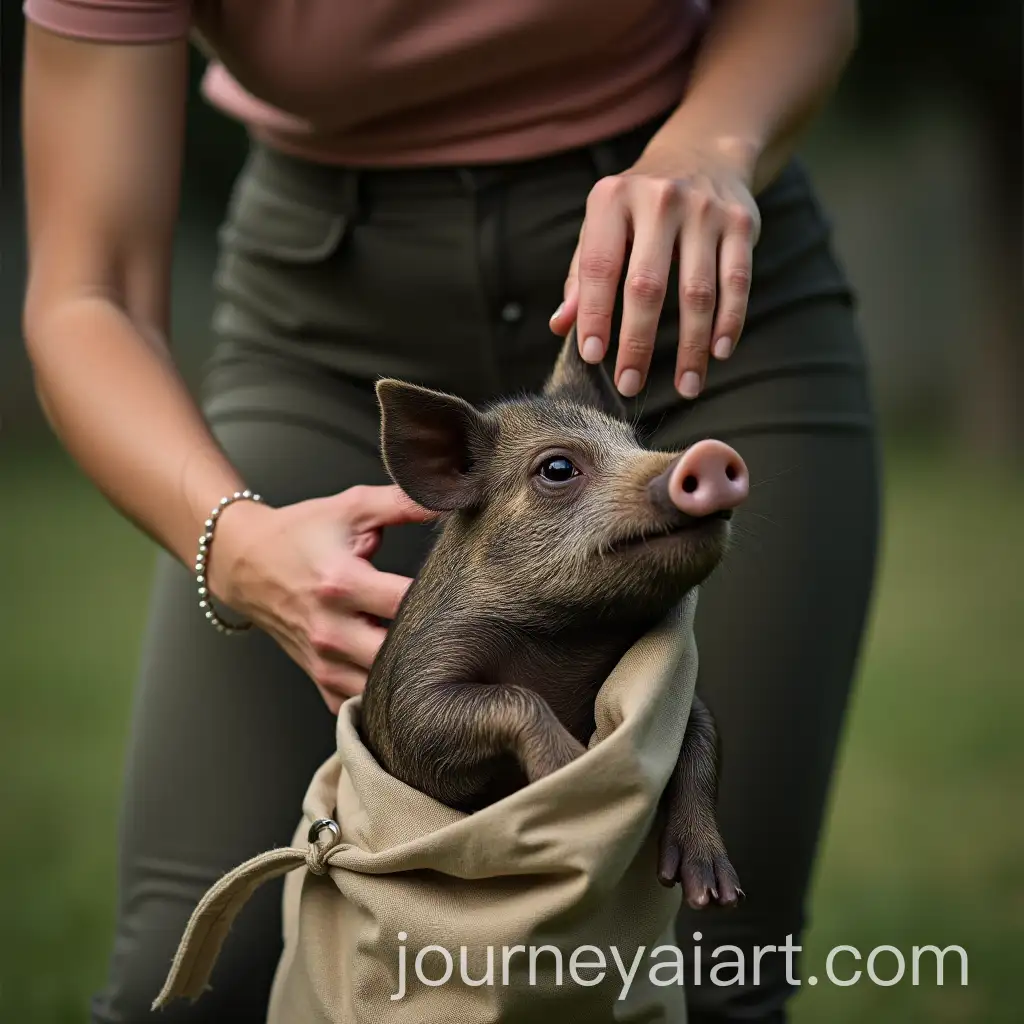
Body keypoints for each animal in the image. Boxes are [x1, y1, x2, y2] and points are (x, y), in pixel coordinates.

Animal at [360, 328, 749, 909]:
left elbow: (703, 733)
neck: (569, 640)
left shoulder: (686, 700)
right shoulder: (413, 698)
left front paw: (715, 895)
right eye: (558, 468)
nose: (710, 453)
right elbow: (484, 706)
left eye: (636, 442)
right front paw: (573, 771)